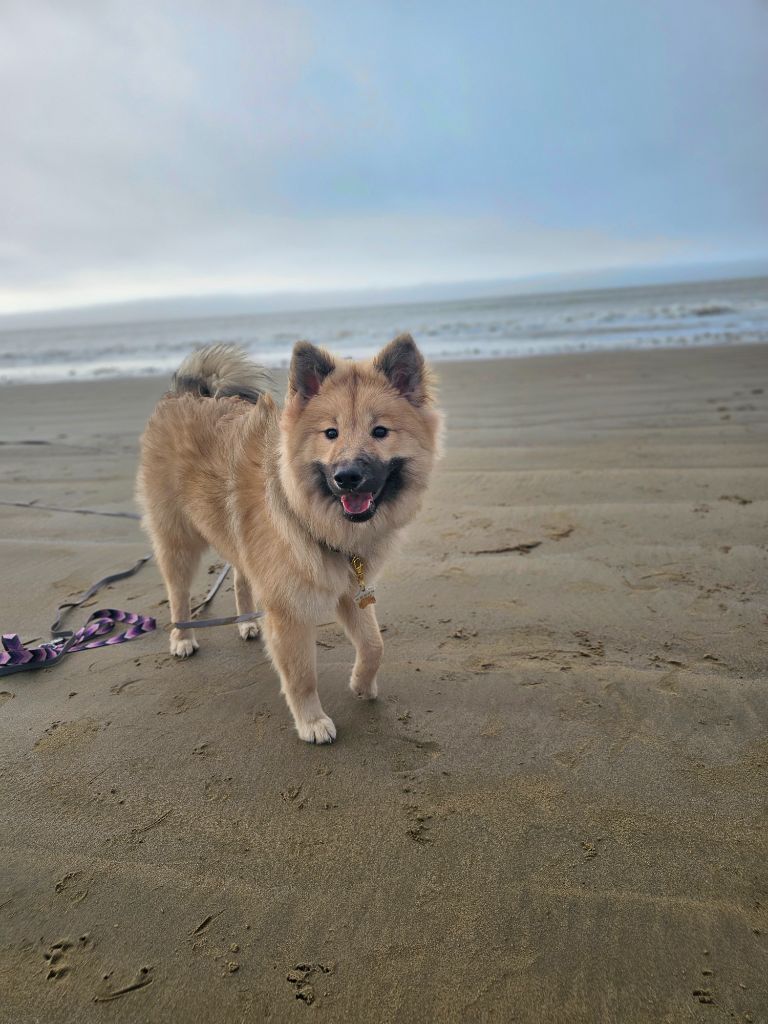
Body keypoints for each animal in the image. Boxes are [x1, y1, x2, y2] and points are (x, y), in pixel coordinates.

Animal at [135, 335, 442, 745]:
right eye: (331, 433)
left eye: (380, 432)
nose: (347, 477)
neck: (312, 516)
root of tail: (187, 393)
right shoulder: (289, 613)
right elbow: (301, 676)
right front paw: (311, 722)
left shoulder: (349, 591)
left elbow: (374, 644)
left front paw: (362, 685)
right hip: (178, 541)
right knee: (179, 594)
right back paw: (182, 637)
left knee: (239, 577)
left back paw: (246, 623)